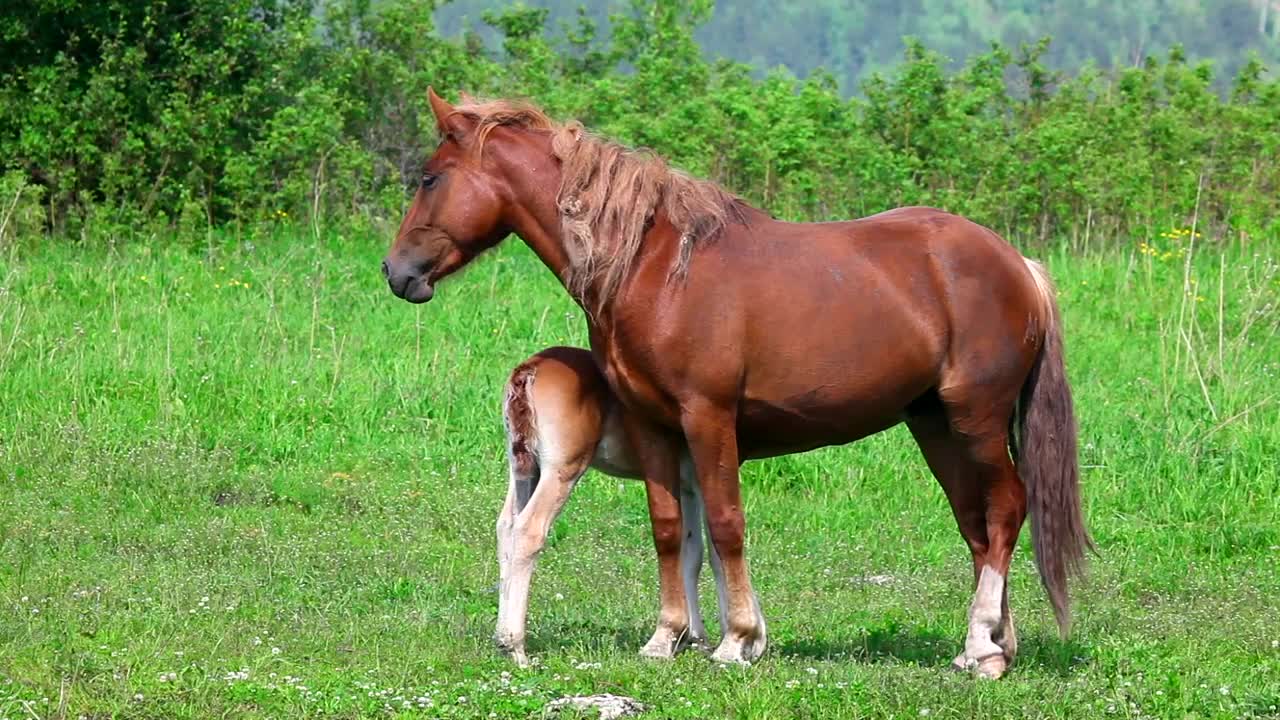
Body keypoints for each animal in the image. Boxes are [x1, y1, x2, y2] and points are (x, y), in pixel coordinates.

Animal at [494, 345, 730, 667]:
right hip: (561, 469)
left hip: (522, 466)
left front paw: (695, 639)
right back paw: (516, 648)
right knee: (529, 529)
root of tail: (531, 368)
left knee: (506, 526)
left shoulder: (686, 483)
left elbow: (691, 553)